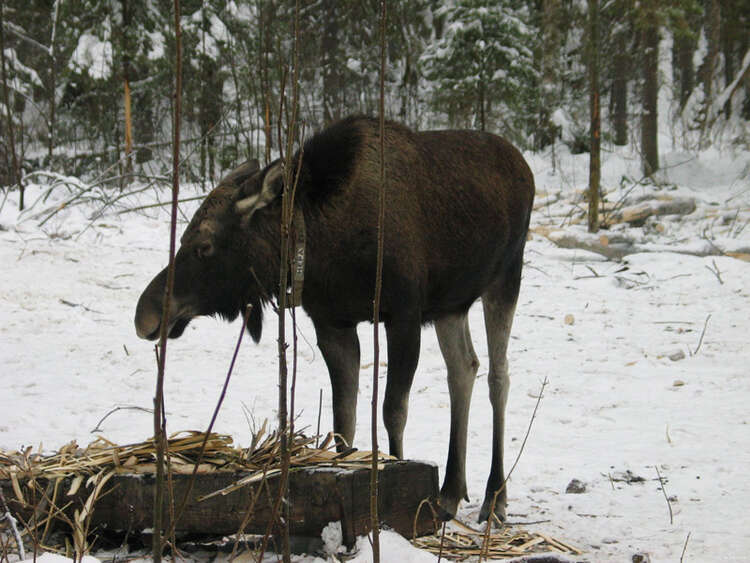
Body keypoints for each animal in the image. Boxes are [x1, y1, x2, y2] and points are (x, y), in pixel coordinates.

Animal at [135, 115, 536, 524]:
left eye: (204, 246)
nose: (145, 314)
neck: (321, 247)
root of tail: (524, 166)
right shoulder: (334, 324)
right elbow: (344, 420)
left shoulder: (403, 315)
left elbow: (392, 411)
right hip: (450, 304)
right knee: (463, 368)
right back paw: (451, 491)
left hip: (506, 277)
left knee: (498, 376)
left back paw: (494, 497)